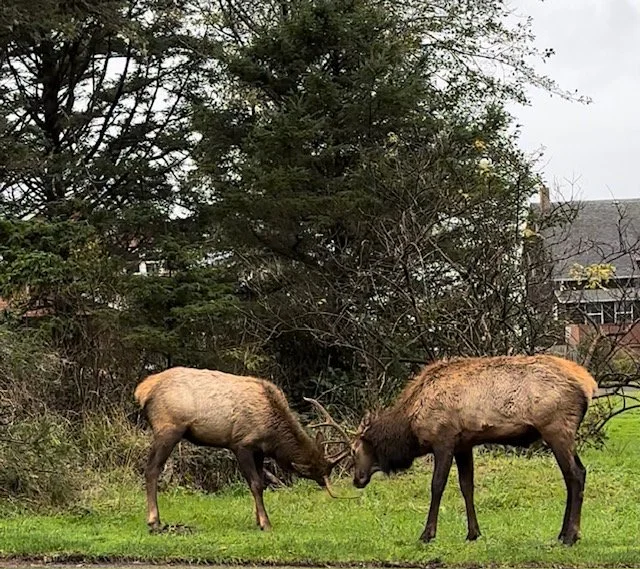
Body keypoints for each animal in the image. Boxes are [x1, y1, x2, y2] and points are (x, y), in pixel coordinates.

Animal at [134, 367, 350, 532]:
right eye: (319, 471)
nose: (326, 485)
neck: (272, 434)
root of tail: (142, 390)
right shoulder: (241, 444)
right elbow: (255, 483)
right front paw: (266, 523)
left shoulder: (259, 451)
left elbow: (261, 483)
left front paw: (258, 519)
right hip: (168, 428)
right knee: (152, 469)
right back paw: (154, 521)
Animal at [351, 354, 598, 546]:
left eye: (354, 450)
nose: (357, 479)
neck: (411, 424)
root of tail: (588, 384)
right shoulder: (464, 445)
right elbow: (466, 486)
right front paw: (473, 533)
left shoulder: (444, 440)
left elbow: (437, 485)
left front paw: (427, 534)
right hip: (561, 433)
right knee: (577, 474)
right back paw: (563, 533)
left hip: (556, 429)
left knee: (575, 475)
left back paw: (571, 536)